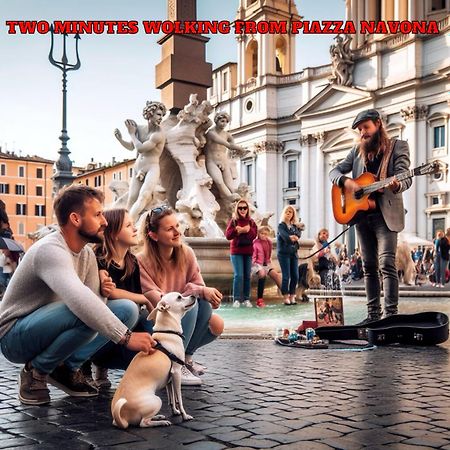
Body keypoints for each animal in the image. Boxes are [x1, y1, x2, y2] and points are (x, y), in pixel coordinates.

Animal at [110, 292, 196, 428]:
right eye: (179, 297)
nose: (194, 295)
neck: (168, 333)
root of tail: (121, 418)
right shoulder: (176, 373)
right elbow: (179, 399)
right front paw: (185, 415)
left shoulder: (169, 379)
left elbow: (172, 398)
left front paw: (175, 411)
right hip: (156, 400)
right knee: (143, 423)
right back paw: (161, 422)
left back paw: (158, 416)